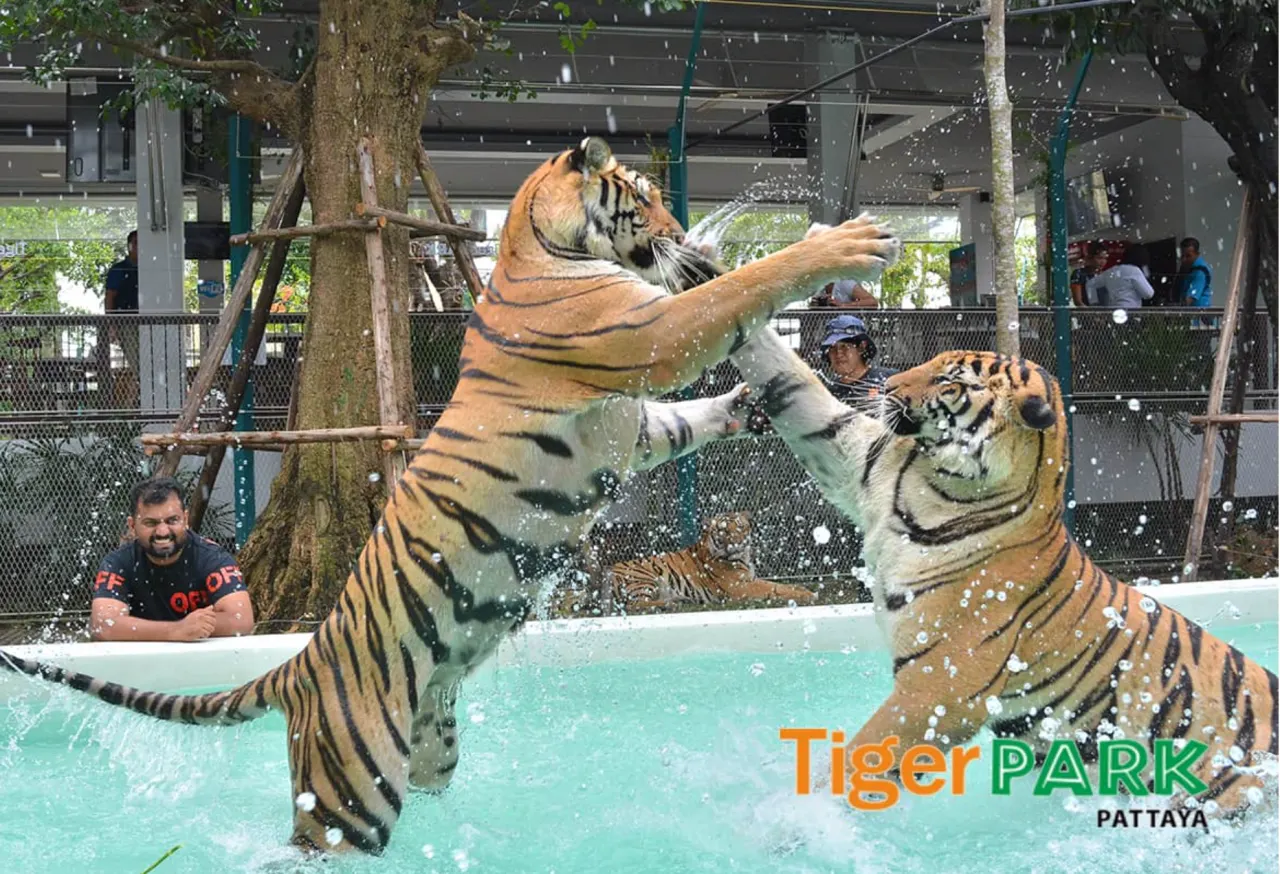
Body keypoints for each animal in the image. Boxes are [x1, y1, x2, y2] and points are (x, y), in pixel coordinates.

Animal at [601, 510, 818, 614]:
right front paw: (807, 595)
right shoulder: (741, 586)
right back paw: (670, 604)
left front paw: (803, 589)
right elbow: (774, 588)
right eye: (722, 530)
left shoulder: (750, 579)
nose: (734, 543)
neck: (742, 557)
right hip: (643, 575)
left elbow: (780, 585)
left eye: (739, 527)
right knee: (632, 605)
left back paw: (678, 600)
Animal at [720, 247, 1277, 815]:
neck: (928, 484)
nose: (888, 387)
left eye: (950, 381)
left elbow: (862, 758)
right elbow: (790, 380)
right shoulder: (853, 455)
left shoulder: (940, 689)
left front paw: (802, 818)